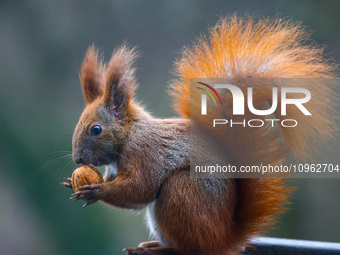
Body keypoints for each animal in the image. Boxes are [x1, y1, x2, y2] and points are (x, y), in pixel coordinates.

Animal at [62, 15, 336, 255]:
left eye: (96, 129)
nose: (77, 160)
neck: (130, 135)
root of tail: (223, 238)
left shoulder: (146, 153)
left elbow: (140, 189)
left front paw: (96, 191)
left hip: (181, 192)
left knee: (189, 248)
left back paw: (157, 249)